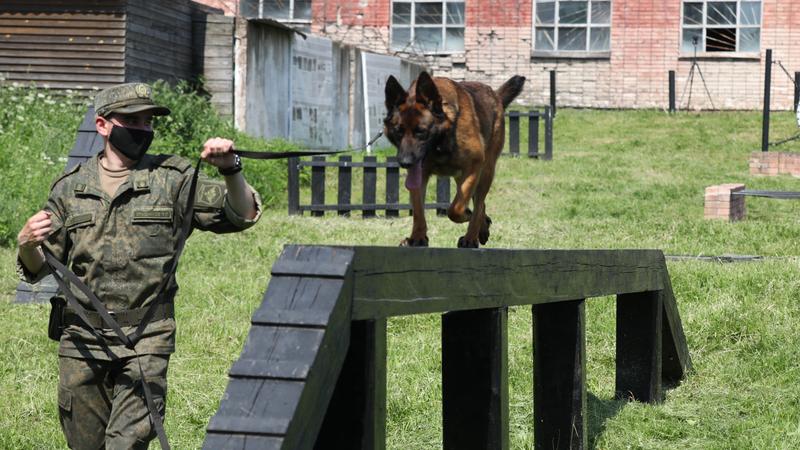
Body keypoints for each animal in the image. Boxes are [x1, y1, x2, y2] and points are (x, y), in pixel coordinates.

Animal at [382, 73, 524, 250]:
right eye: (398, 132)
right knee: (480, 204)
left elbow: (455, 210)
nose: (405, 162)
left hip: (485, 172)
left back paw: (471, 237)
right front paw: (417, 237)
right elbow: (418, 209)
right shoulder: (421, 174)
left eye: (421, 132)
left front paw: (467, 218)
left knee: (478, 204)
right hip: (462, 177)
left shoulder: (474, 166)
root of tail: (495, 95)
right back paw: (482, 228)